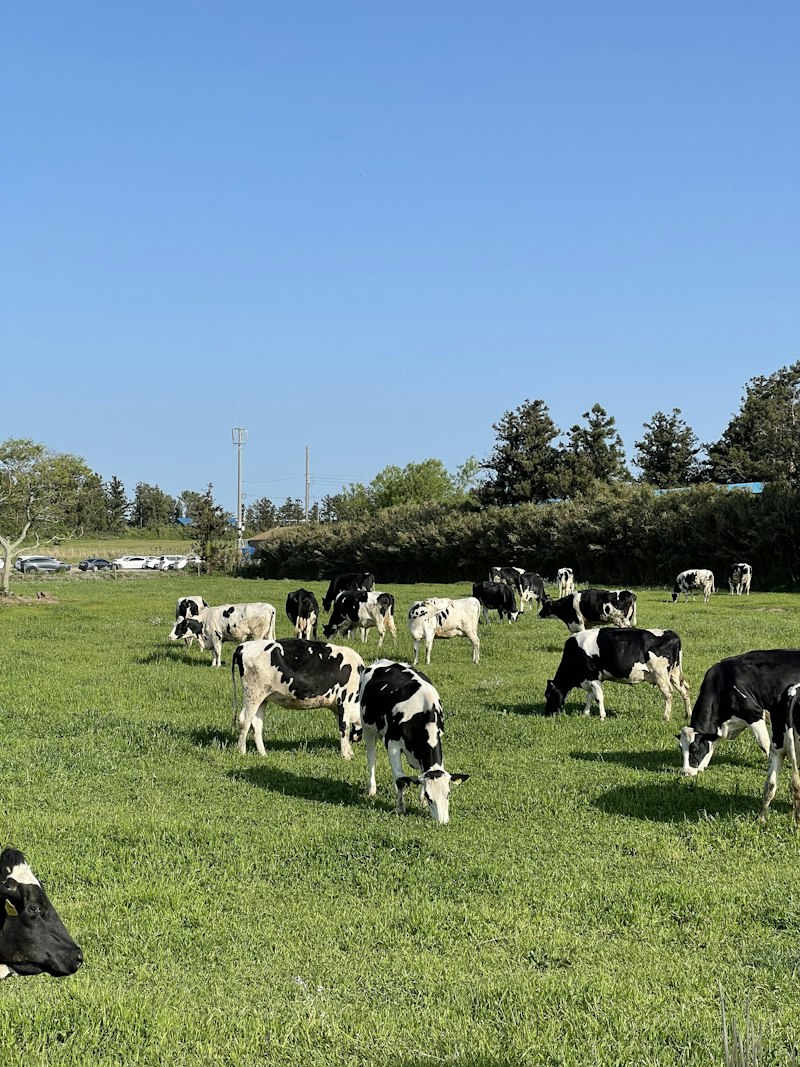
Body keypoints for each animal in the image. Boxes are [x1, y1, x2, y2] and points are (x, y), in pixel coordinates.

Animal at [231, 639, 364, 758]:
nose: (356, 738)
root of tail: (244, 645)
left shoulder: (337, 707)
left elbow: (342, 728)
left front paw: (349, 752)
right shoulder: (345, 701)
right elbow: (344, 728)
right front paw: (346, 755)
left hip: (262, 698)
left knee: (256, 724)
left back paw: (263, 754)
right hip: (252, 694)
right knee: (244, 721)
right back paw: (242, 752)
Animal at [358, 659, 469, 824]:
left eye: (448, 793)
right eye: (430, 797)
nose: (442, 821)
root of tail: (383, 661)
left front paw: (420, 800)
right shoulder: (392, 744)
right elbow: (400, 779)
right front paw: (400, 808)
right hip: (367, 728)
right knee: (371, 758)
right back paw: (371, 789)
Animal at [545, 627, 691, 721]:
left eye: (548, 695)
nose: (547, 714)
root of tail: (671, 634)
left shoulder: (593, 677)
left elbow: (598, 697)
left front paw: (602, 717)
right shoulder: (591, 679)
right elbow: (590, 697)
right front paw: (585, 714)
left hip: (660, 673)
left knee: (668, 694)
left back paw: (666, 717)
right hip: (674, 673)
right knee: (684, 691)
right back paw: (688, 715)